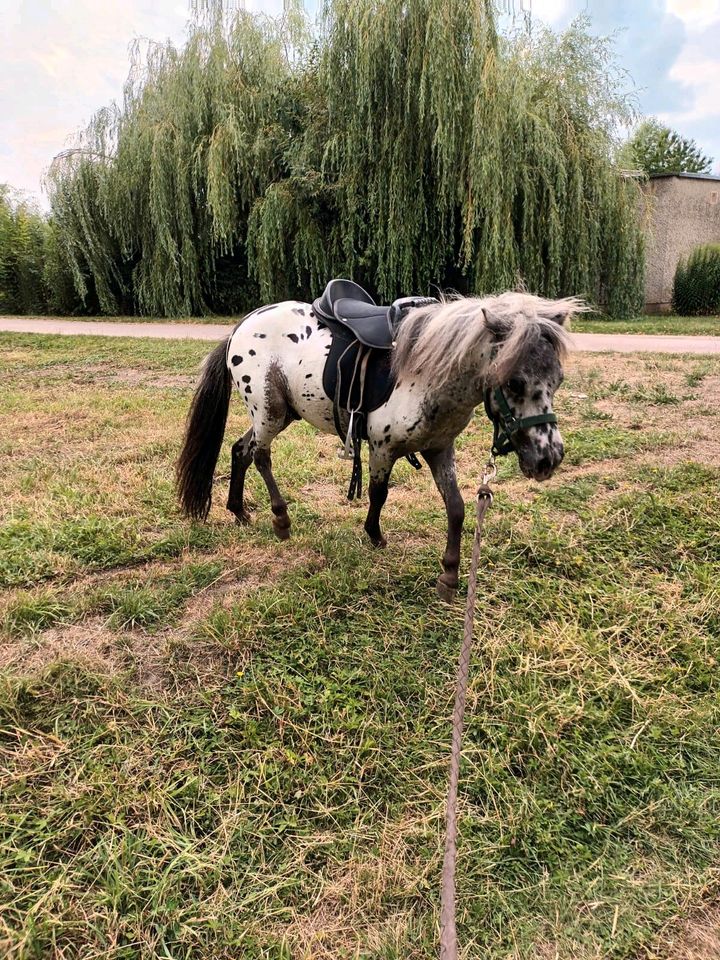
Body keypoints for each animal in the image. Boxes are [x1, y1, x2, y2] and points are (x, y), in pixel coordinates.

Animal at [176, 288, 580, 596]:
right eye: (514, 382)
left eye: (559, 379)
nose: (549, 459)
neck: (431, 371)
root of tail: (241, 326)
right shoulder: (382, 447)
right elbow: (378, 493)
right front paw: (374, 536)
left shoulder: (439, 448)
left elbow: (456, 507)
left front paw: (449, 575)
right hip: (269, 413)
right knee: (260, 455)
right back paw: (280, 519)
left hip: (282, 414)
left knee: (240, 450)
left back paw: (239, 510)